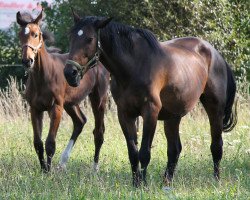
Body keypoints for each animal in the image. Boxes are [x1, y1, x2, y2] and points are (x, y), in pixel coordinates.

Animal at [15, 10, 109, 171]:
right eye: (20, 35)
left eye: (36, 34)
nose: (27, 61)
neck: (43, 76)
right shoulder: (35, 109)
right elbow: (38, 143)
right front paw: (43, 169)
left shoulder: (56, 107)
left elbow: (50, 143)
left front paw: (48, 171)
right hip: (71, 103)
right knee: (80, 121)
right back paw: (63, 161)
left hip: (98, 99)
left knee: (99, 131)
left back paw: (95, 168)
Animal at [63, 13, 237, 187]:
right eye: (71, 36)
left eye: (90, 39)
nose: (70, 73)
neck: (134, 67)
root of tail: (216, 55)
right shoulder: (125, 114)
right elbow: (133, 153)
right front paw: (136, 183)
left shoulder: (150, 112)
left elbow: (144, 153)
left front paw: (144, 185)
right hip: (173, 116)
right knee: (174, 150)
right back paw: (166, 183)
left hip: (214, 108)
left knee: (216, 146)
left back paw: (216, 180)